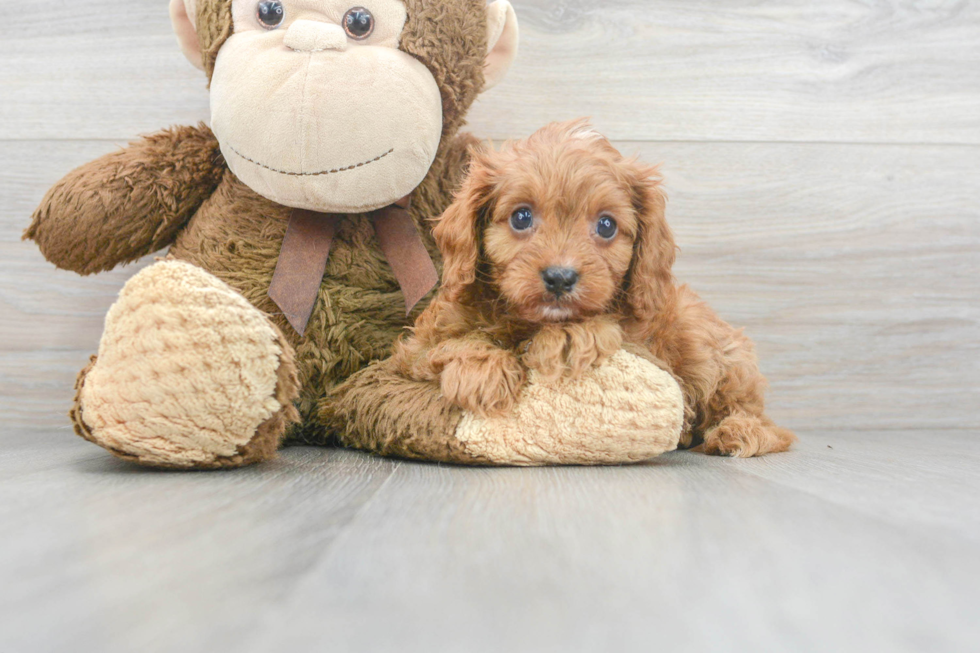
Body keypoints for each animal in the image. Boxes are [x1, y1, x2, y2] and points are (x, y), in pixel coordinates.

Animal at [392, 119, 796, 456]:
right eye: (521, 217)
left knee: (759, 418)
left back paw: (740, 432)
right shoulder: (413, 350)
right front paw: (482, 369)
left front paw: (568, 337)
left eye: (606, 225)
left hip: (708, 346)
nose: (560, 277)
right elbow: (445, 344)